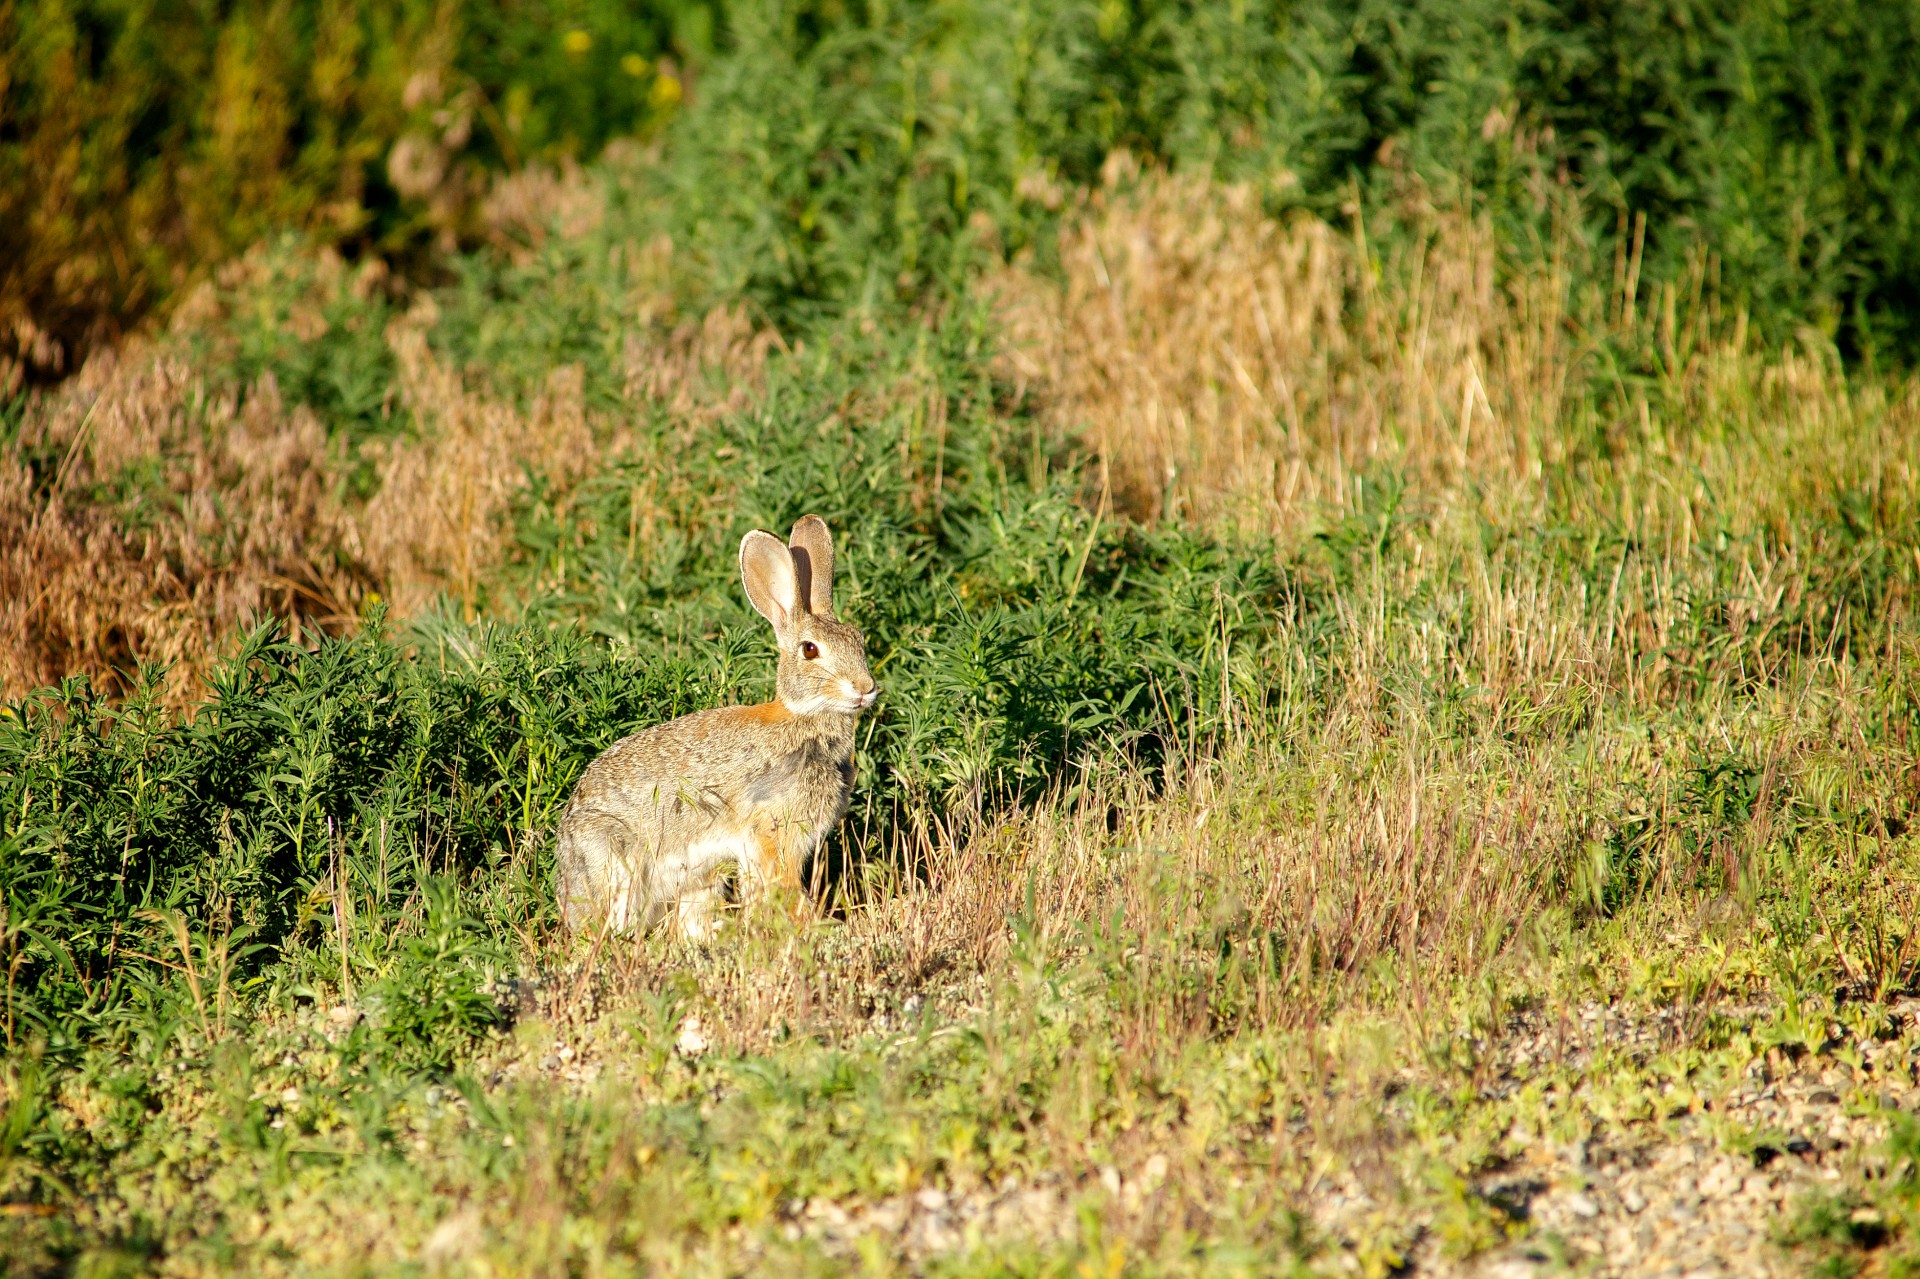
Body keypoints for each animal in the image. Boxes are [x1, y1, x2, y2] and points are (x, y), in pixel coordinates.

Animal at [552, 510, 879, 937]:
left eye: (859, 639)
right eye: (810, 650)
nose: (866, 688)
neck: (803, 714)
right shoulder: (772, 832)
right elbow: (783, 889)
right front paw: (815, 928)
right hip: (614, 862)